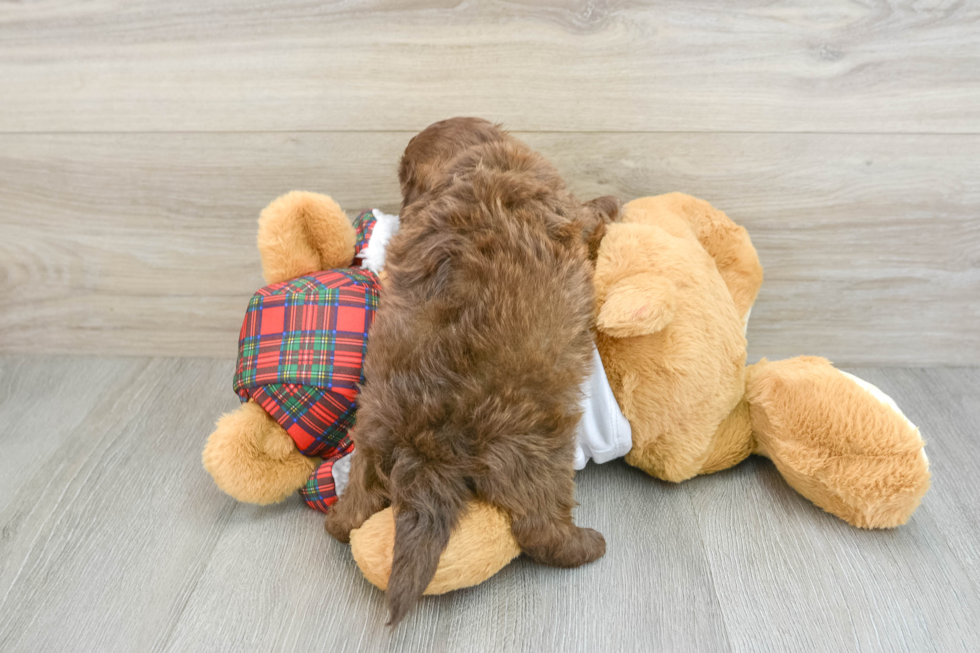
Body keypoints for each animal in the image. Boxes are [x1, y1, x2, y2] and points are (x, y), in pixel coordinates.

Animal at [326, 116, 616, 620]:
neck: (469, 165)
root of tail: (426, 445)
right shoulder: (568, 209)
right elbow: (593, 213)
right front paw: (615, 203)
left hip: (369, 438)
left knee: (359, 505)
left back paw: (336, 521)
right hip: (535, 452)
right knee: (539, 527)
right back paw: (585, 545)